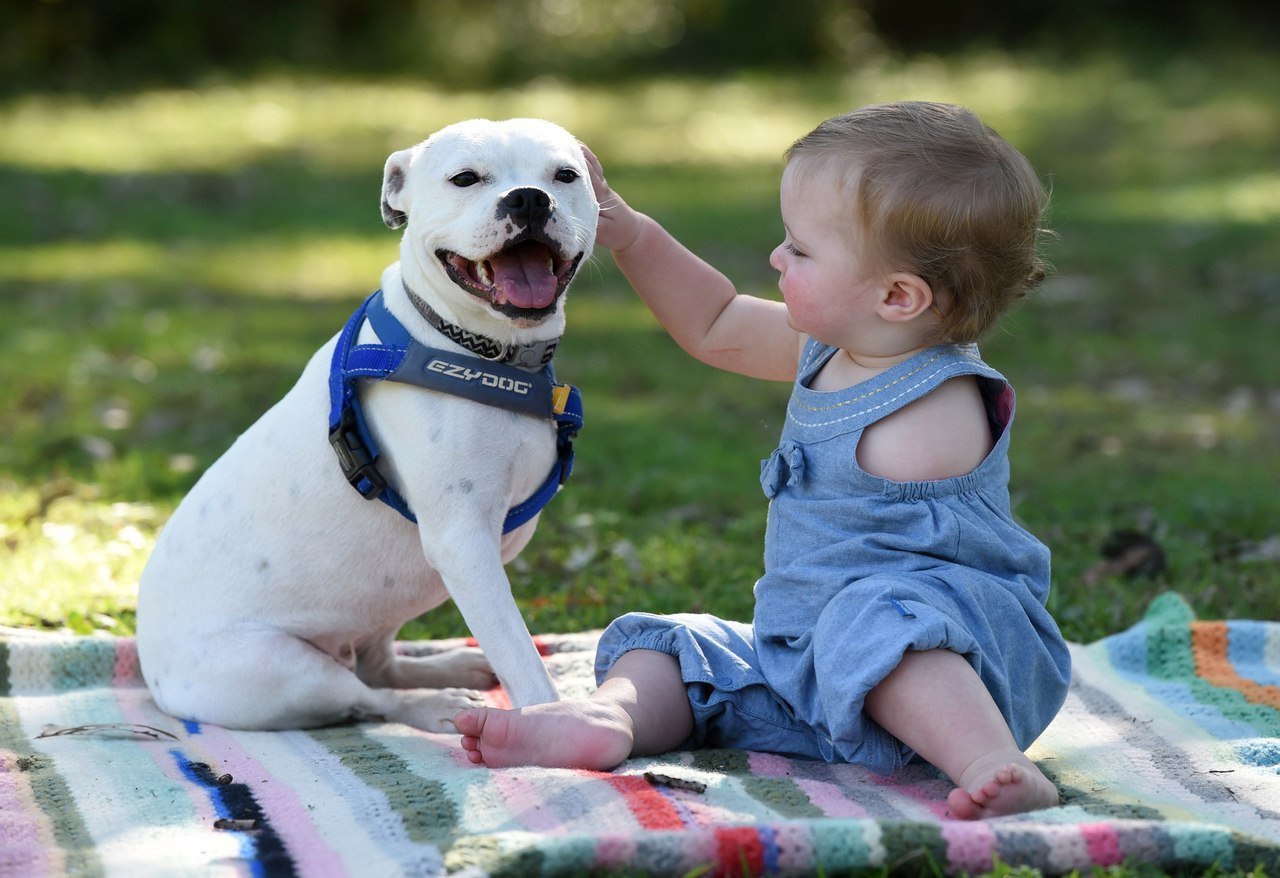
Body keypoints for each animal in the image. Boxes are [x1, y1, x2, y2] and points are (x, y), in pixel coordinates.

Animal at [137, 118, 596, 737]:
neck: (481, 351)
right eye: (465, 179)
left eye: (564, 176)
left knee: (379, 666)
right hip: (281, 670)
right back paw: (439, 705)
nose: (528, 198)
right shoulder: (463, 544)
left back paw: (450, 669)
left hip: (387, 599)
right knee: (368, 697)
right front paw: (553, 722)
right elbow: (521, 655)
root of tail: (152, 673)